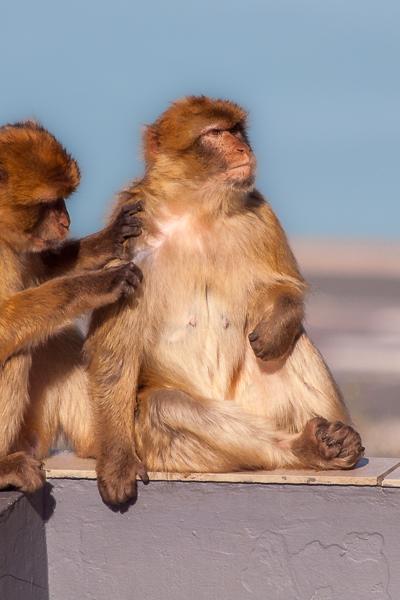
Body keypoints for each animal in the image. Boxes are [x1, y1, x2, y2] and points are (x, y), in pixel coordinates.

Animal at [0, 120, 143, 492]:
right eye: (50, 203)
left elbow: (41, 270)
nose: (65, 221)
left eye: (63, 200)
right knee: (18, 356)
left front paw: (108, 238)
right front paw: (96, 285)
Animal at [85, 97, 366, 502]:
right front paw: (117, 461)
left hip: (264, 405)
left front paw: (278, 321)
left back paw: (330, 443)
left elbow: (285, 287)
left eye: (236, 130)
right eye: (216, 133)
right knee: (163, 408)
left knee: (290, 343)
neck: (197, 209)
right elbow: (114, 351)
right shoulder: (128, 233)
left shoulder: (261, 214)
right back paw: (302, 449)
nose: (242, 149)